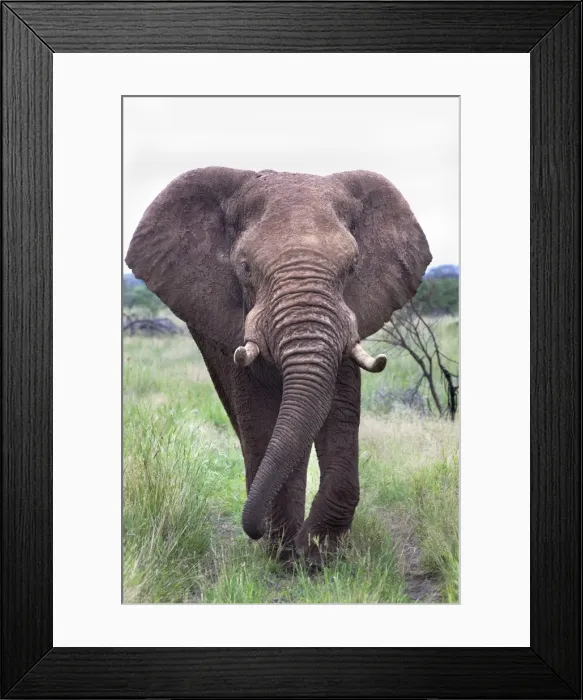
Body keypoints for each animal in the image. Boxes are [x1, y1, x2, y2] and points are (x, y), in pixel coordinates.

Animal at [125, 167, 432, 561]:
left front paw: (317, 553)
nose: (253, 530)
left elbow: (339, 408)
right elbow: (258, 413)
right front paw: (285, 554)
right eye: (245, 268)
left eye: (352, 267)